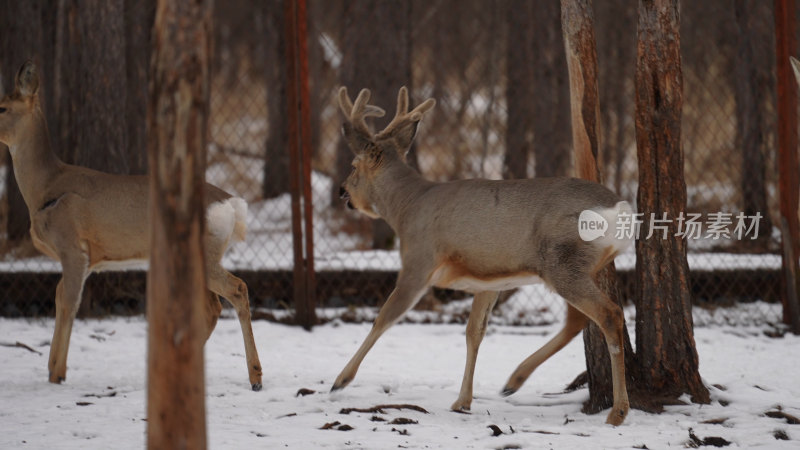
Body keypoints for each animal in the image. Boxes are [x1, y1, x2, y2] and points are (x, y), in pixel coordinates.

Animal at [0, 62, 262, 390]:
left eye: (2, 107)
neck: (45, 187)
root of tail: (231, 204)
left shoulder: (73, 246)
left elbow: (67, 300)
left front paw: (56, 372)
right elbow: (62, 296)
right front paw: (53, 370)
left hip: (205, 253)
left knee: (237, 289)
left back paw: (255, 377)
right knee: (212, 307)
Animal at [332, 86, 632, 424]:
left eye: (354, 166)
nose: (342, 191)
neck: (407, 208)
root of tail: (621, 209)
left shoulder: (418, 262)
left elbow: (383, 318)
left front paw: (340, 380)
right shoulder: (488, 281)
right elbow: (473, 332)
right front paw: (462, 401)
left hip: (562, 262)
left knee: (609, 313)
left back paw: (617, 411)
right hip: (577, 266)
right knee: (578, 318)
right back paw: (514, 380)